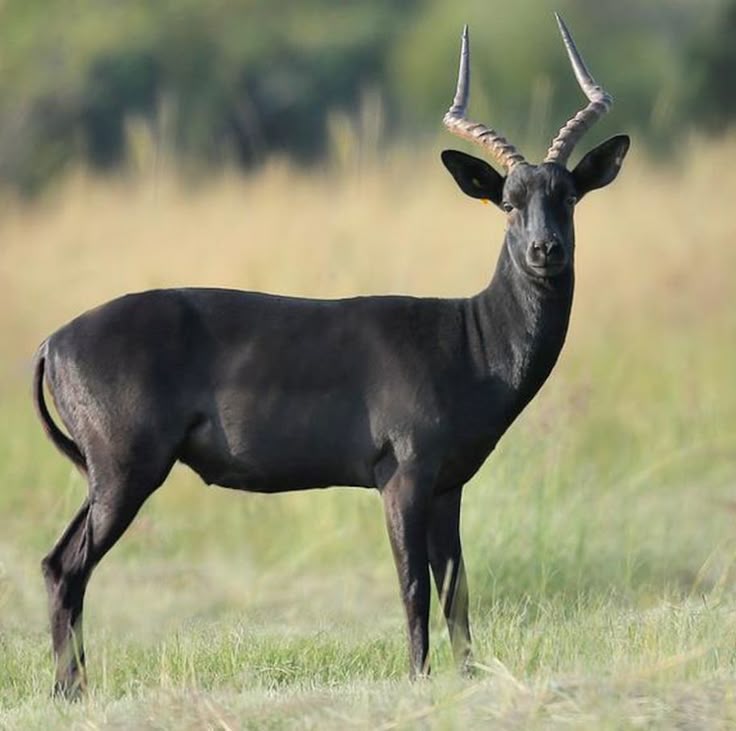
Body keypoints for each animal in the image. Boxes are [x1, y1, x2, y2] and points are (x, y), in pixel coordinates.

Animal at [33, 14, 628, 695]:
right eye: (508, 201)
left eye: (569, 196)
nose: (545, 250)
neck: (469, 341)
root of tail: (52, 342)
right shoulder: (402, 476)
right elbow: (412, 585)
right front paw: (418, 678)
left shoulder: (448, 485)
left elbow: (456, 587)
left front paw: (468, 676)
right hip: (125, 471)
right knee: (65, 565)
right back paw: (71, 691)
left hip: (107, 476)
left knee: (60, 565)